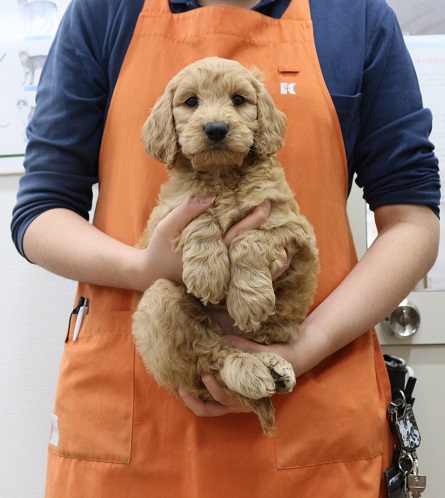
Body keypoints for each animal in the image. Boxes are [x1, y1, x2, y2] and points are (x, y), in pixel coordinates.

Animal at [132, 57, 319, 434]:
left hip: (275, 327)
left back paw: (273, 366)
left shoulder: (294, 228)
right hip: (159, 300)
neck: (222, 175)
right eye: (191, 102)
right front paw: (208, 273)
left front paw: (248, 299)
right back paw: (250, 371)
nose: (216, 128)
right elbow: (199, 216)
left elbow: (251, 238)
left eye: (238, 100)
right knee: (212, 354)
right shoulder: (164, 219)